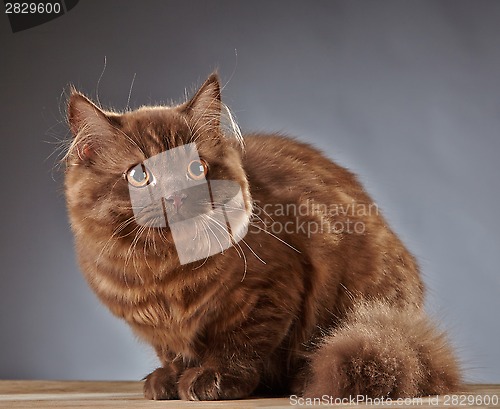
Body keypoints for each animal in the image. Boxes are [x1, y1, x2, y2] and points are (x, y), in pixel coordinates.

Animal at [64, 72, 462, 398]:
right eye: (140, 175)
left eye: (197, 168)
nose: (176, 195)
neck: (166, 271)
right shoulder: (159, 328)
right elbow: (174, 352)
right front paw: (169, 379)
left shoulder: (271, 289)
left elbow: (240, 344)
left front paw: (212, 379)